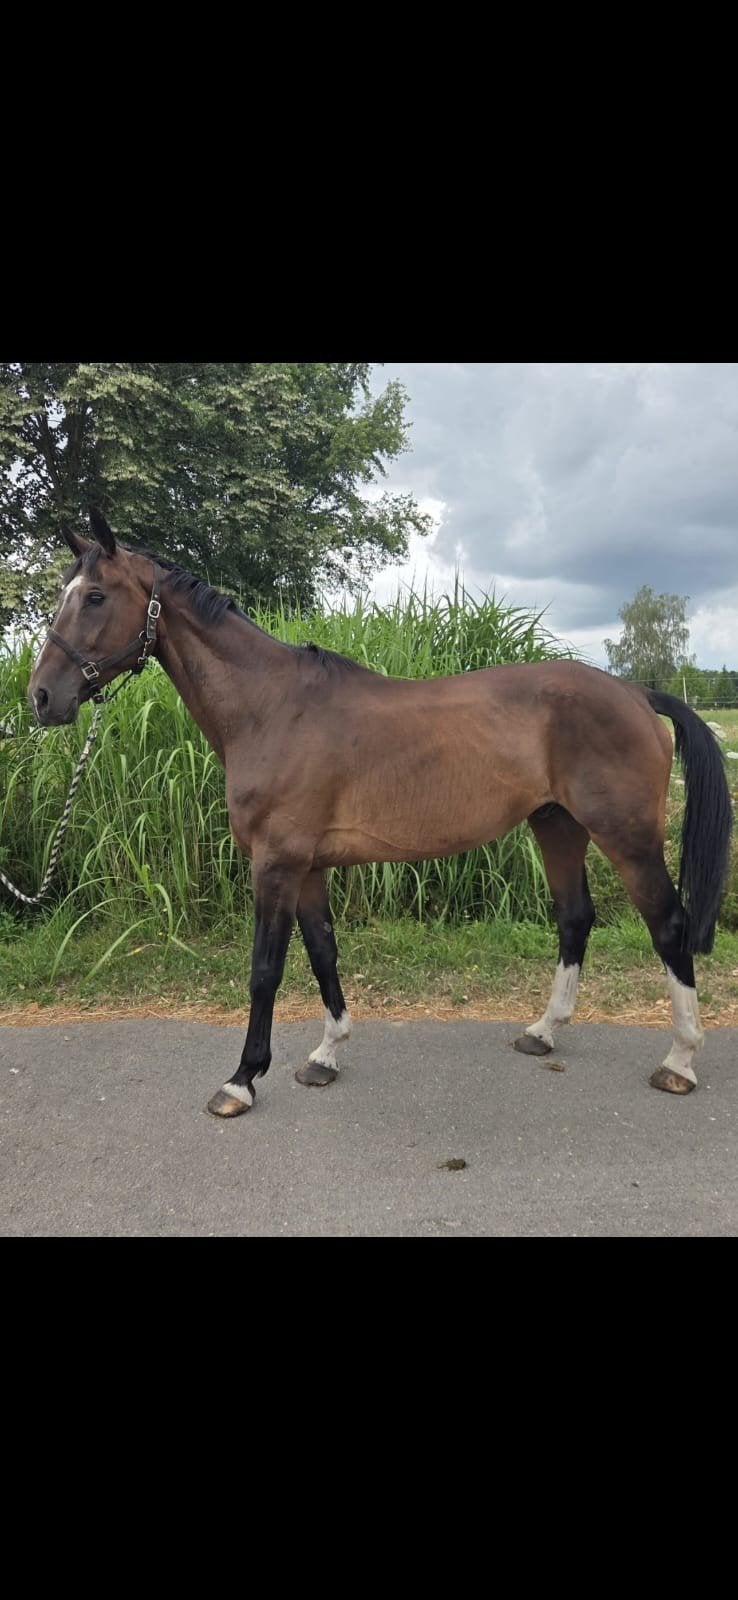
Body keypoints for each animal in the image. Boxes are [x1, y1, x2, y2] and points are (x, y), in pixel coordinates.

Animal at [27, 509, 733, 1118]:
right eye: (66, 593)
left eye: (95, 597)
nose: (41, 697)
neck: (271, 708)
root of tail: (635, 692)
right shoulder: (308, 868)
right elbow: (322, 953)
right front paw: (325, 1054)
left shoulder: (276, 864)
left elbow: (265, 970)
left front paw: (241, 1080)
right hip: (556, 824)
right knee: (574, 918)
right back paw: (544, 1030)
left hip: (627, 836)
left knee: (668, 925)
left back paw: (680, 1060)